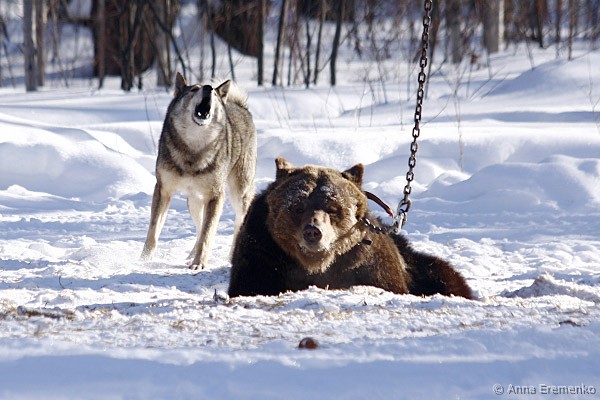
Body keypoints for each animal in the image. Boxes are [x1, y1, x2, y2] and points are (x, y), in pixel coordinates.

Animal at [141, 72, 257, 270]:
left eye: (215, 95)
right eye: (194, 89)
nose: (209, 88)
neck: (193, 150)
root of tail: (240, 106)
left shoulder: (216, 196)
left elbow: (207, 234)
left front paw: (199, 264)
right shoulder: (163, 190)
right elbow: (154, 231)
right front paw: (144, 260)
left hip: (239, 195)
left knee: (237, 224)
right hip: (193, 202)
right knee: (199, 225)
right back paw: (190, 255)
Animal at [228, 157, 473, 299]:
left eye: (333, 208)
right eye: (297, 206)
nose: (313, 231)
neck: (316, 265)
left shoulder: (368, 262)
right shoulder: (264, 252)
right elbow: (252, 284)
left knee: (445, 275)